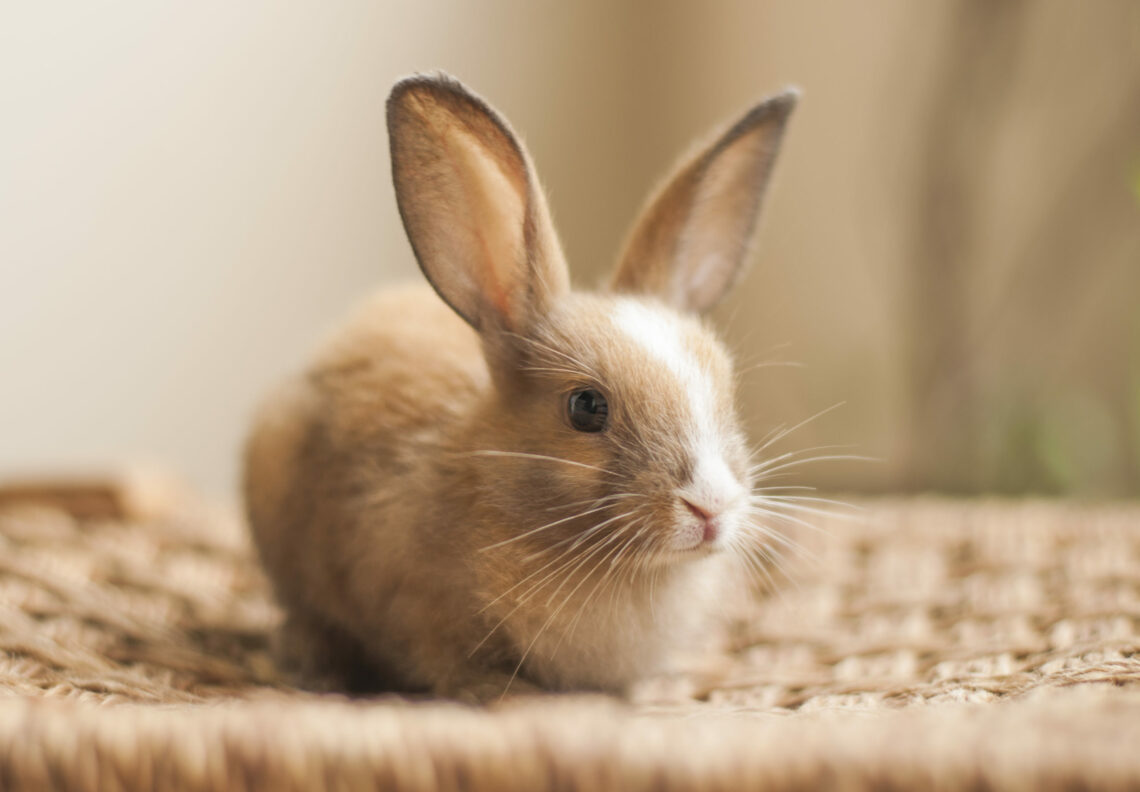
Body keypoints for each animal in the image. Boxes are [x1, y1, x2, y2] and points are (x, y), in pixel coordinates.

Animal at [243, 73, 798, 701]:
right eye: (586, 407)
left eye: (726, 390)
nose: (710, 506)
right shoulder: (416, 614)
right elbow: (449, 666)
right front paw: (511, 695)